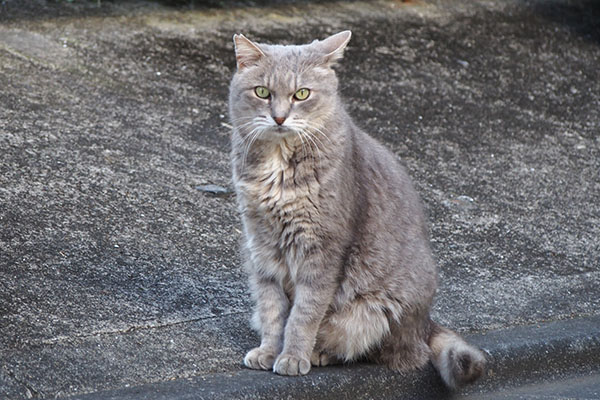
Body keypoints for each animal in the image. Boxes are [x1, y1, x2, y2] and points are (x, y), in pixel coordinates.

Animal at [227, 30, 486, 388]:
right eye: (262, 92)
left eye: (301, 94)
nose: (279, 117)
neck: (278, 163)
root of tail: (425, 324)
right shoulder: (261, 247)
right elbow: (272, 310)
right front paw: (269, 350)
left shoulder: (322, 250)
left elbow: (304, 314)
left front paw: (292, 356)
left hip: (375, 311)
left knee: (383, 351)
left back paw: (320, 354)